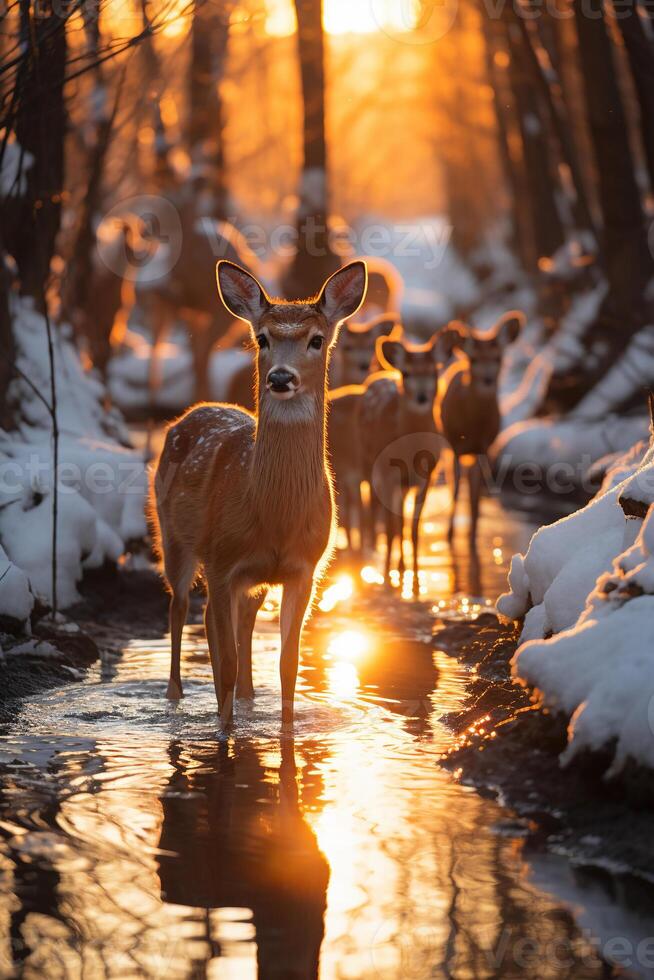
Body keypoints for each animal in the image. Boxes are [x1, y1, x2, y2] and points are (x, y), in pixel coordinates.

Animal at [151, 258, 372, 728]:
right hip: (174, 536)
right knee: (181, 608)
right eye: (262, 338)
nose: (281, 377)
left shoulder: (304, 569)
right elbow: (226, 664)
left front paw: (286, 729)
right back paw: (175, 696)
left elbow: (289, 663)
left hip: (250, 579)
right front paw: (225, 731)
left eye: (316, 339)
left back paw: (250, 698)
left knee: (241, 622)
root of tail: (192, 412)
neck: (272, 517)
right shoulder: (222, 562)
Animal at [358, 330, 446, 588]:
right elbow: (390, 526)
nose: (422, 397)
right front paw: (388, 575)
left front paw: (416, 579)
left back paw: (402, 567)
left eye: (434, 371)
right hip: (368, 464)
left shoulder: (427, 475)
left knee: (401, 520)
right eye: (407, 373)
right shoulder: (388, 474)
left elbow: (414, 527)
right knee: (383, 514)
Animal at [438, 312, 532, 548]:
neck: (473, 426)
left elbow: (475, 498)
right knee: (453, 482)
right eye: (474, 359)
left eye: (498, 358)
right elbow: (455, 490)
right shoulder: (455, 445)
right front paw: (450, 535)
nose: (488, 379)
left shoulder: (485, 448)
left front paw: (472, 538)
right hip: (447, 446)